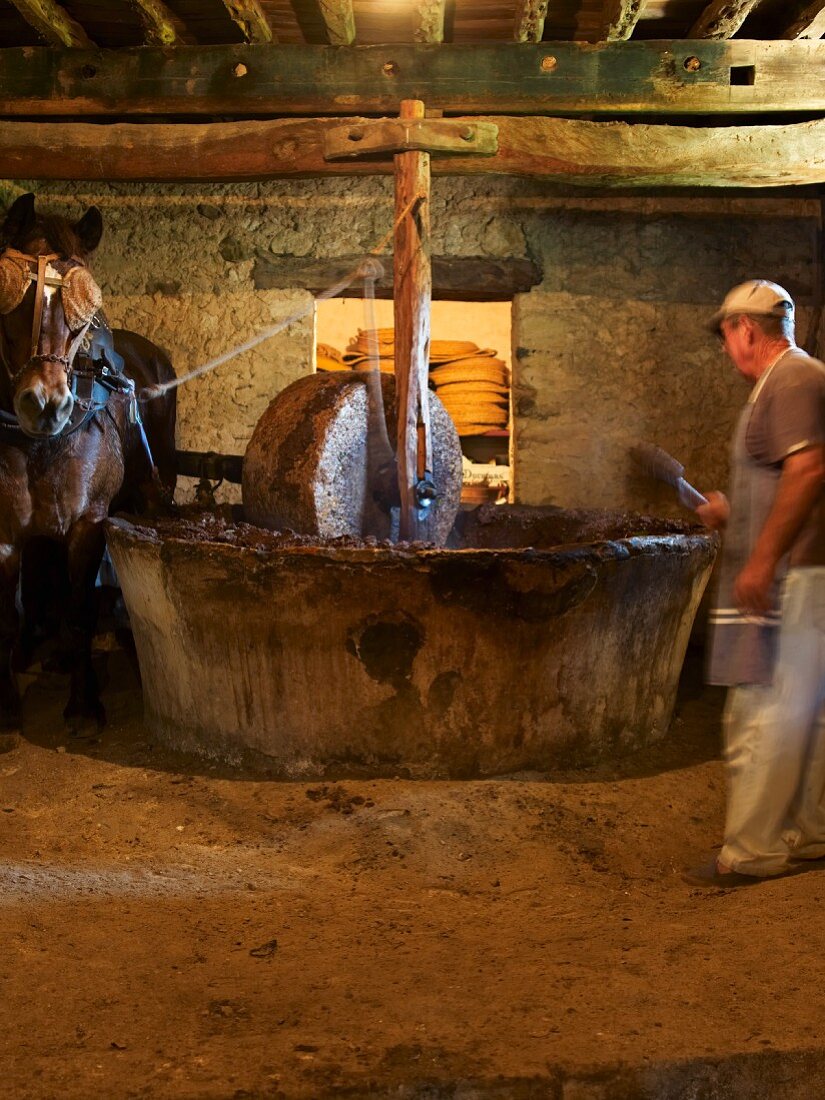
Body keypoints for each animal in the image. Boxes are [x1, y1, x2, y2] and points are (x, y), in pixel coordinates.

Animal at [0, 193, 178, 734]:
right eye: (12, 295)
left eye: (83, 309)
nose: (44, 404)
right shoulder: (6, 533)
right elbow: (8, 617)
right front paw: (8, 708)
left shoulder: (87, 524)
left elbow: (80, 611)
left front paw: (83, 704)